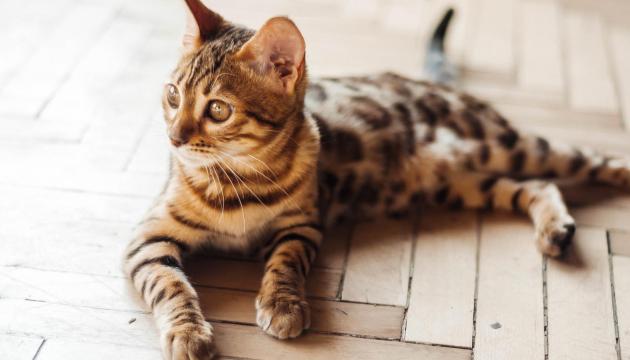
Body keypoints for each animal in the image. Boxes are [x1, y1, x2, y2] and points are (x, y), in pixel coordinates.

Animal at [123, 1, 630, 358]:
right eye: (173, 95)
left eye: (217, 110)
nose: (173, 137)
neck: (237, 180)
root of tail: (438, 85)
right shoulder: (147, 238)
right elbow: (170, 285)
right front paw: (189, 332)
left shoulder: (302, 225)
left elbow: (285, 262)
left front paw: (283, 305)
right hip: (462, 183)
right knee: (536, 187)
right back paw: (554, 230)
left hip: (509, 146)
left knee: (581, 160)